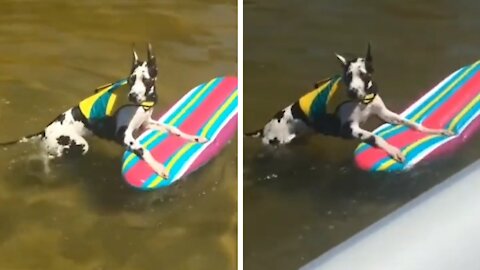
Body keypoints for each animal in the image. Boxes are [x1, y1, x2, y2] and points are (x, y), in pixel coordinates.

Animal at [0, 43, 206, 178]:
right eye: (131, 79)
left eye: (146, 80)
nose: (132, 96)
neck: (140, 103)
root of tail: (45, 130)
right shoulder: (124, 136)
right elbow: (143, 150)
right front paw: (158, 167)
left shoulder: (146, 123)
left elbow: (173, 129)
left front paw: (195, 139)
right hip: (77, 145)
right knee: (51, 155)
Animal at [248, 44, 454, 162]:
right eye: (348, 76)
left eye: (363, 74)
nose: (353, 91)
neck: (362, 101)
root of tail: (263, 129)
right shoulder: (349, 129)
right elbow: (375, 137)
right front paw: (393, 150)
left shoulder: (385, 114)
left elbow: (411, 123)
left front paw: (435, 131)